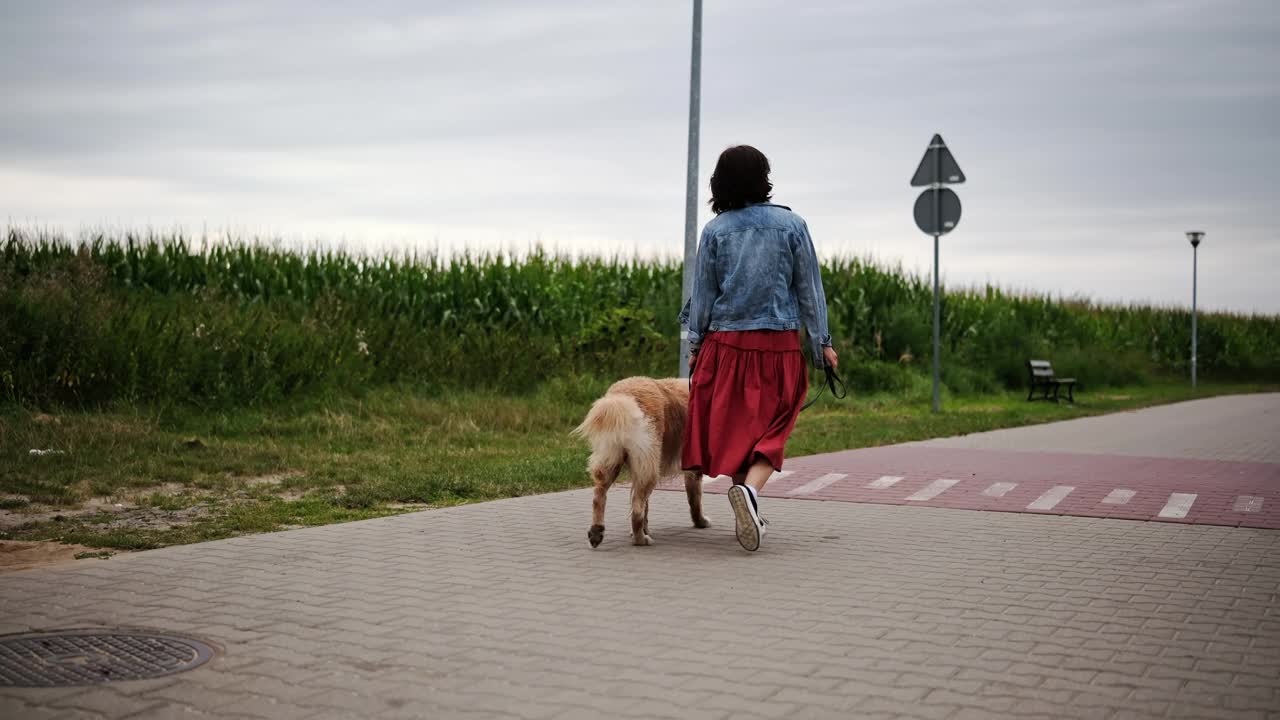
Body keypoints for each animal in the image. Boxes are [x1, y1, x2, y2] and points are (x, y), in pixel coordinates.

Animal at [573, 376, 711, 543]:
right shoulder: (693, 468)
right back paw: (641, 539)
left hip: (613, 459)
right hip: (649, 465)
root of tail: (622, 398)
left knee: (599, 496)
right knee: (637, 507)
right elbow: (695, 499)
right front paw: (701, 521)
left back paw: (596, 532)